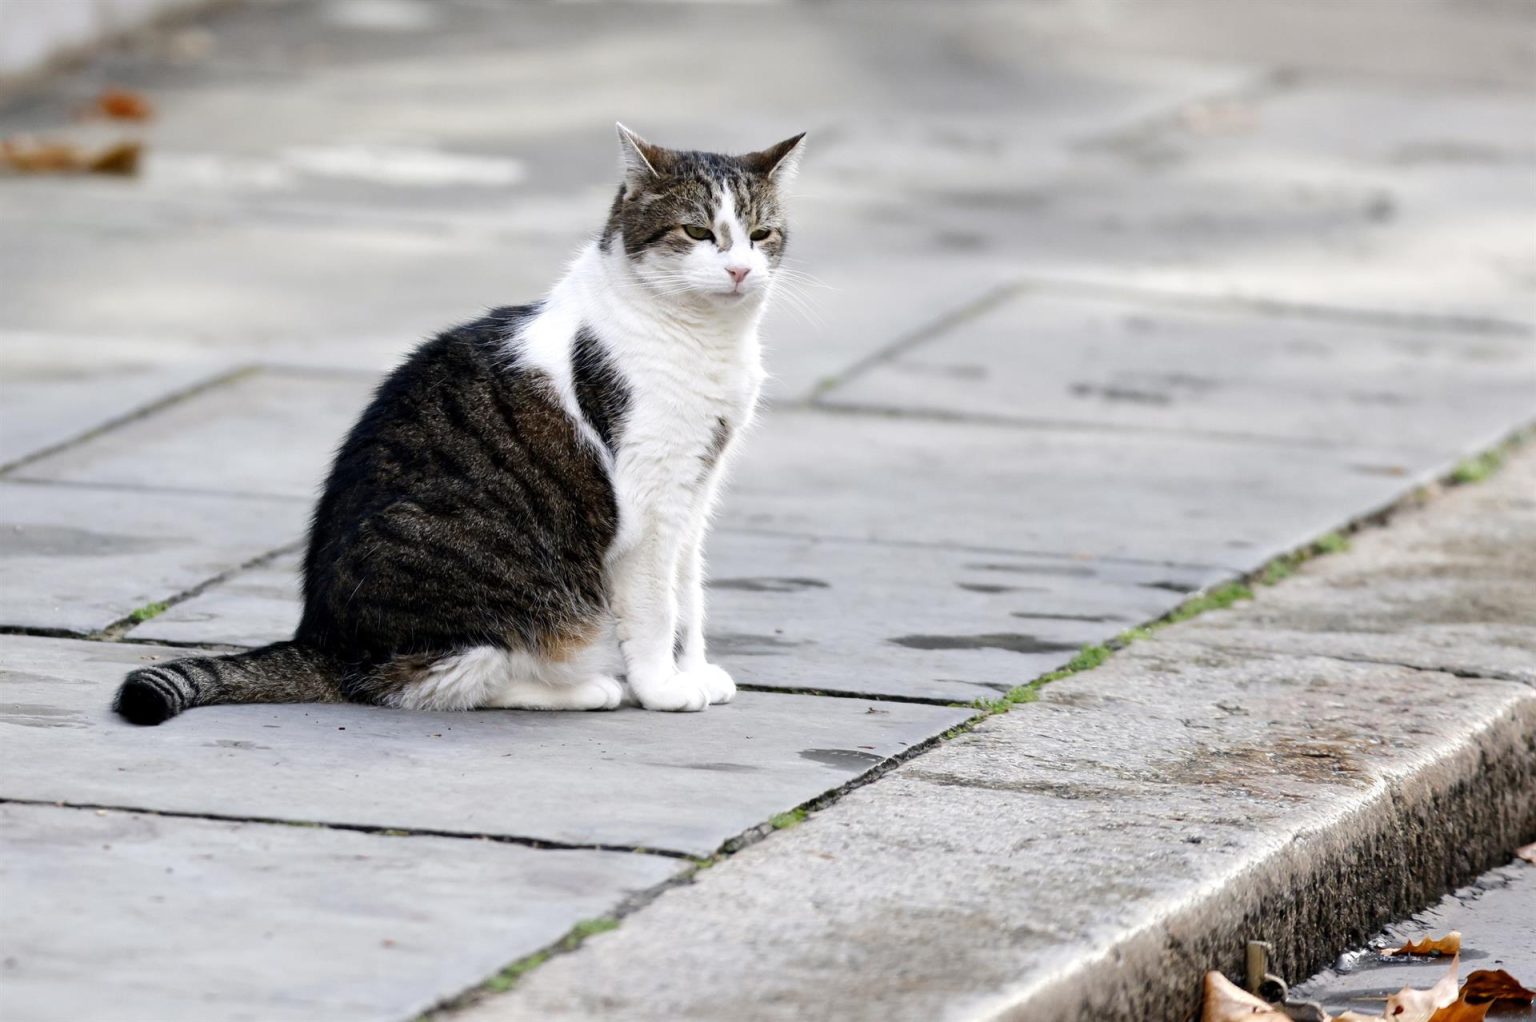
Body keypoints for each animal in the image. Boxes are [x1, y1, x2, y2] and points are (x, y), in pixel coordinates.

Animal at [111, 123, 804, 722]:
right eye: (697, 231)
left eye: (760, 234)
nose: (740, 269)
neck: (706, 339)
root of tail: (323, 641)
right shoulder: (652, 499)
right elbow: (657, 607)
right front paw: (663, 688)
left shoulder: (696, 490)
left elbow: (690, 595)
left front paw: (695, 671)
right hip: (500, 603)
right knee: (438, 682)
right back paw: (588, 688)